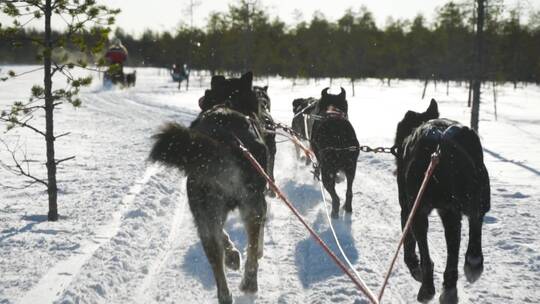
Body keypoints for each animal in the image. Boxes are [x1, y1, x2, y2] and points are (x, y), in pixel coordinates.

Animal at [149, 72, 266, 302]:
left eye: (207, 92)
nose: (201, 97)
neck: (229, 101)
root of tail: (225, 140)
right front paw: (238, 256)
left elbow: (223, 236)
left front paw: (232, 256)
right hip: (248, 206)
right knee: (250, 244)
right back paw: (248, 282)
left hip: (206, 211)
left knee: (216, 254)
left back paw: (226, 293)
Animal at [308, 88, 358, 218]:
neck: (332, 108)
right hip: (351, 168)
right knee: (349, 191)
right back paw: (348, 206)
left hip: (326, 171)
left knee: (335, 196)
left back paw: (334, 212)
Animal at [394, 99, 492, 302]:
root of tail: (441, 140)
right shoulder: (448, 211)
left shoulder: (407, 209)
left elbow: (409, 245)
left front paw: (414, 266)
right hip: (473, 196)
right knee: (474, 221)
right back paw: (468, 267)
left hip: (420, 211)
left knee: (426, 253)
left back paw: (427, 288)